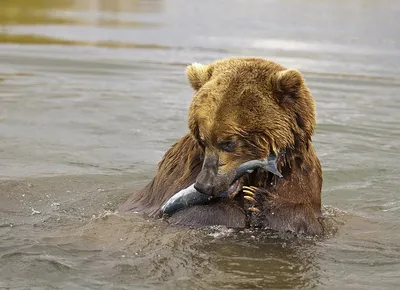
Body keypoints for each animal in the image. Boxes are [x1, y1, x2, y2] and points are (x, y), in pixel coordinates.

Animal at [120, 56, 324, 236]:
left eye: (229, 142)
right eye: (202, 139)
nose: (204, 185)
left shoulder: (297, 173)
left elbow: (302, 217)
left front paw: (258, 200)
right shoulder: (178, 177)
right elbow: (202, 214)